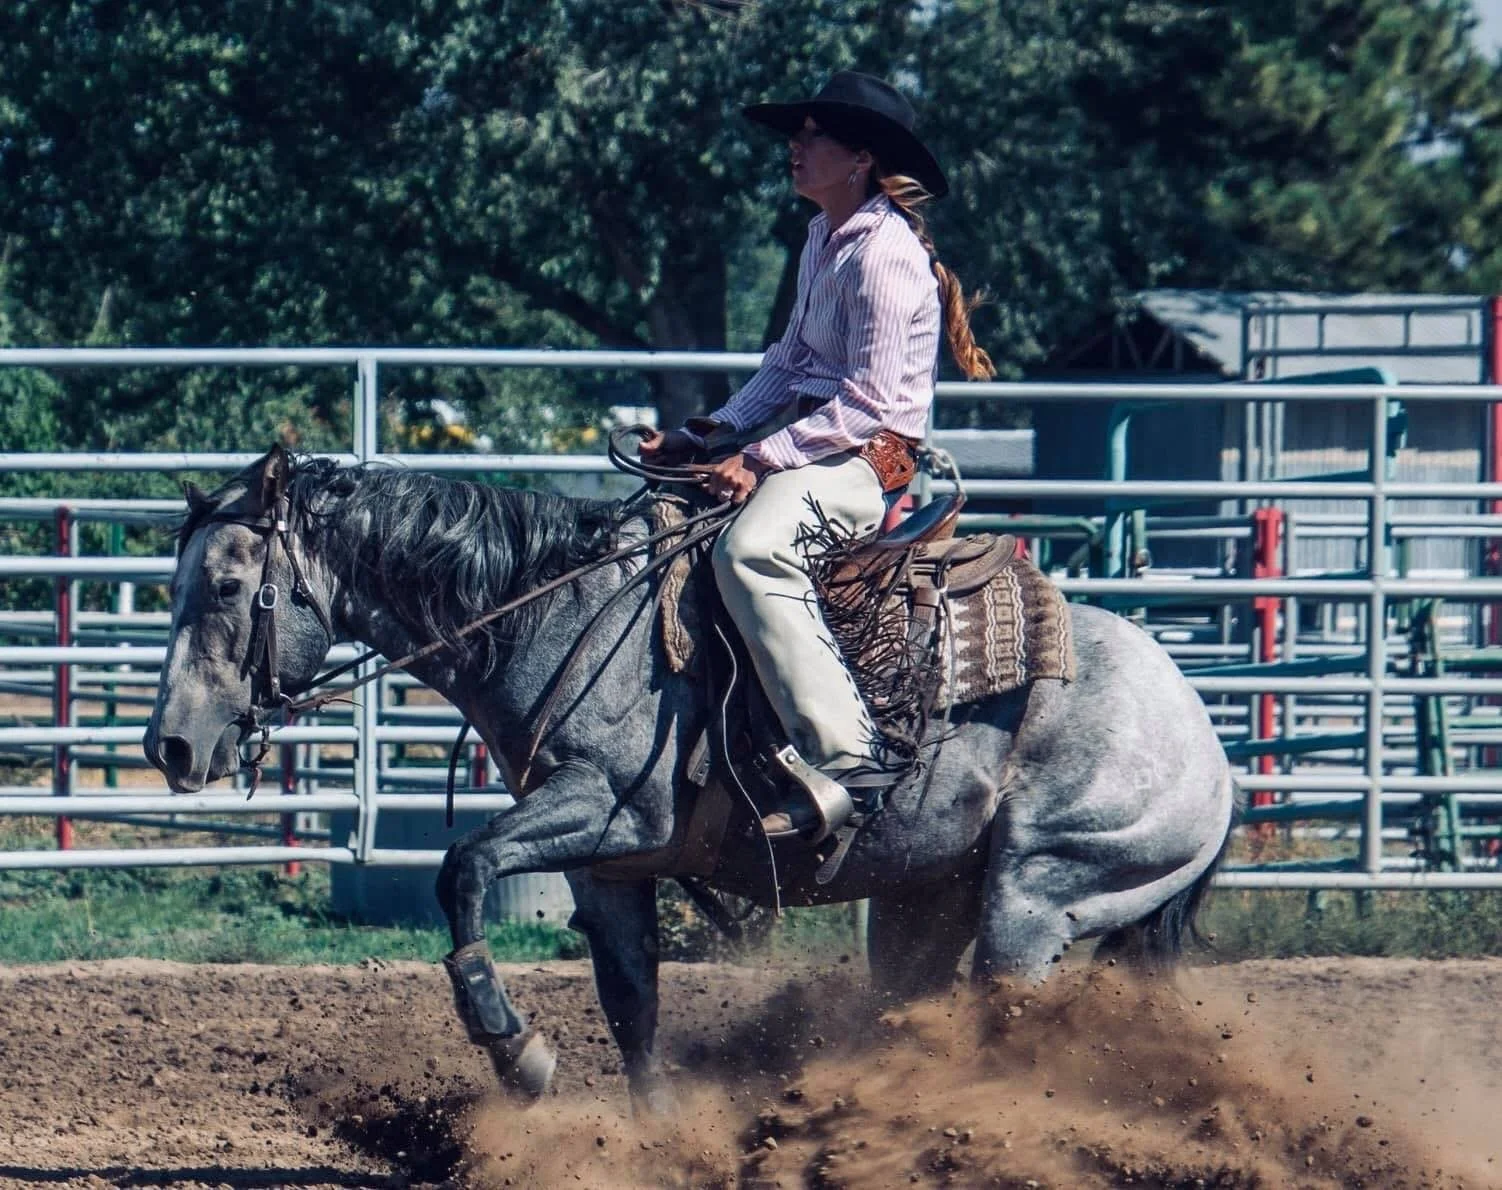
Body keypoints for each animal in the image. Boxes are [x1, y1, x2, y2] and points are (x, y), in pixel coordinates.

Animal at [144, 445, 1236, 1113]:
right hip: (924, 904)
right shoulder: (609, 867)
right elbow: (631, 999)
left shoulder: (610, 813)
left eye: (230, 586)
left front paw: (512, 1045)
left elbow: (464, 867)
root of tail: (1208, 743)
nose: (170, 747)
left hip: (1037, 897)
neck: (549, 612)